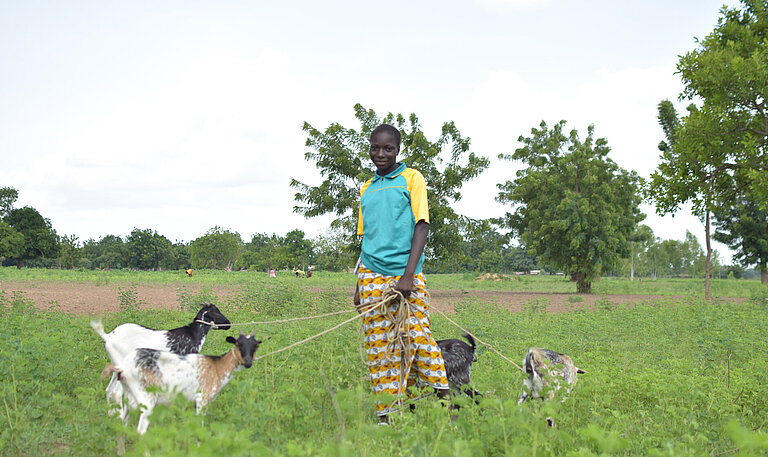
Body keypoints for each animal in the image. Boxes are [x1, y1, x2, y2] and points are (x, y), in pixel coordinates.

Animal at [91, 302, 231, 416]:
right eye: (217, 312)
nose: (229, 324)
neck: (192, 334)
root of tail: (108, 336)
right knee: (116, 391)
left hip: (116, 365)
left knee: (109, 389)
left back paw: (111, 414)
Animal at [100, 330, 260, 432]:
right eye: (238, 343)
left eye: (255, 345)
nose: (248, 362)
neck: (217, 367)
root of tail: (123, 368)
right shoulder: (202, 399)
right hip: (146, 399)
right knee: (141, 432)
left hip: (129, 398)